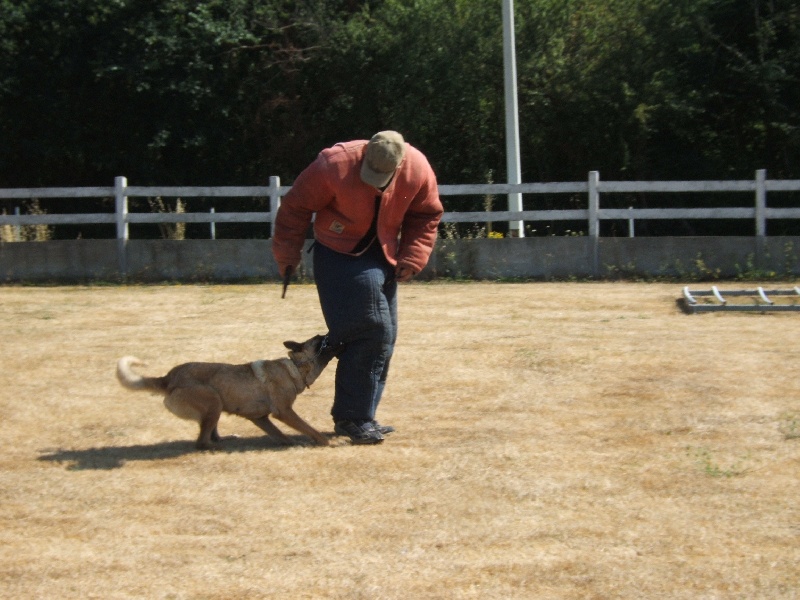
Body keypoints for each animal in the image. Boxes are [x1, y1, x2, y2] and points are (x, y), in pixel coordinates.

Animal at [114, 336, 340, 448]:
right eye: (320, 338)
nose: (332, 333)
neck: (295, 366)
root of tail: (167, 378)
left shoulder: (260, 418)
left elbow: (281, 435)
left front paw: (291, 443)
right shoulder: (284, 412)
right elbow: (310, 429)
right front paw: (328, 442)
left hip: (215, 406)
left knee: (209, 434)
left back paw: (225, 439)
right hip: (213, 401)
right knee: (202, 442)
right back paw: (218, 447)